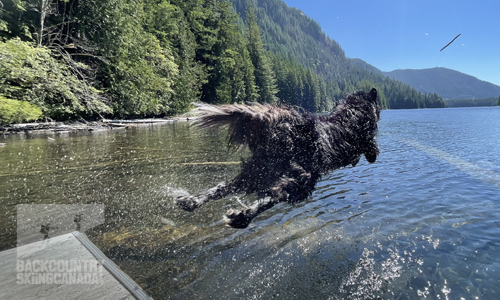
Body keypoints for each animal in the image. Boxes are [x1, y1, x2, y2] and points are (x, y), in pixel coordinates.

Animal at [175, 88, 378, 229]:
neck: (350, 114)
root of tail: (273, 122)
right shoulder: (366, 140)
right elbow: (372, 149)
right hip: (300, 178)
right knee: (273, 196)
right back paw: (242, 216)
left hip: (258, 171)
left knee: (224, 187)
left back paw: (191, 201)